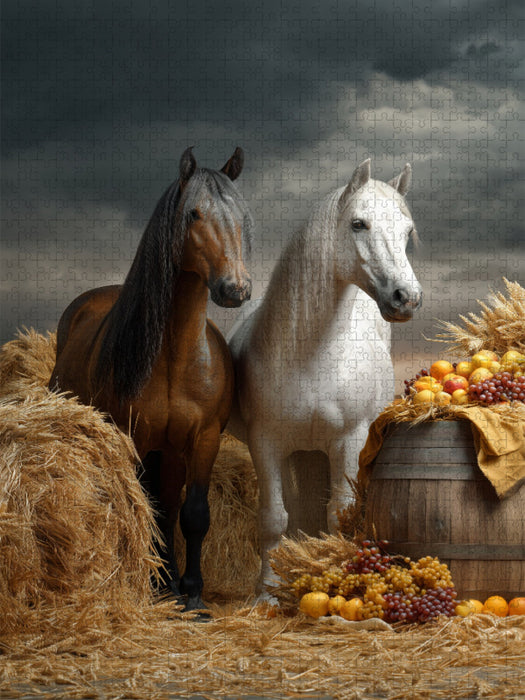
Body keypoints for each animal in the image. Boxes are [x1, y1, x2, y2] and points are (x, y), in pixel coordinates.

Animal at [49, 146, 253, 612]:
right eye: (194, 213)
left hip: (173, 449)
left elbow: (192, 513)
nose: (235, 289)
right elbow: (148, 508)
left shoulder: (204, 439)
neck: (176, 355)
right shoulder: (135, 435)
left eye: (242, 214)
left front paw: (191, 593)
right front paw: (159, 584)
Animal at [227, 158, 423, 594]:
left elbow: (338, 515)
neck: (313, 356)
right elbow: (274, 519)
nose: (407, 298)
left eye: (407, 231)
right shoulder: (266, 443)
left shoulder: (347, 442)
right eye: (358, 224)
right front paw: (266, 592)